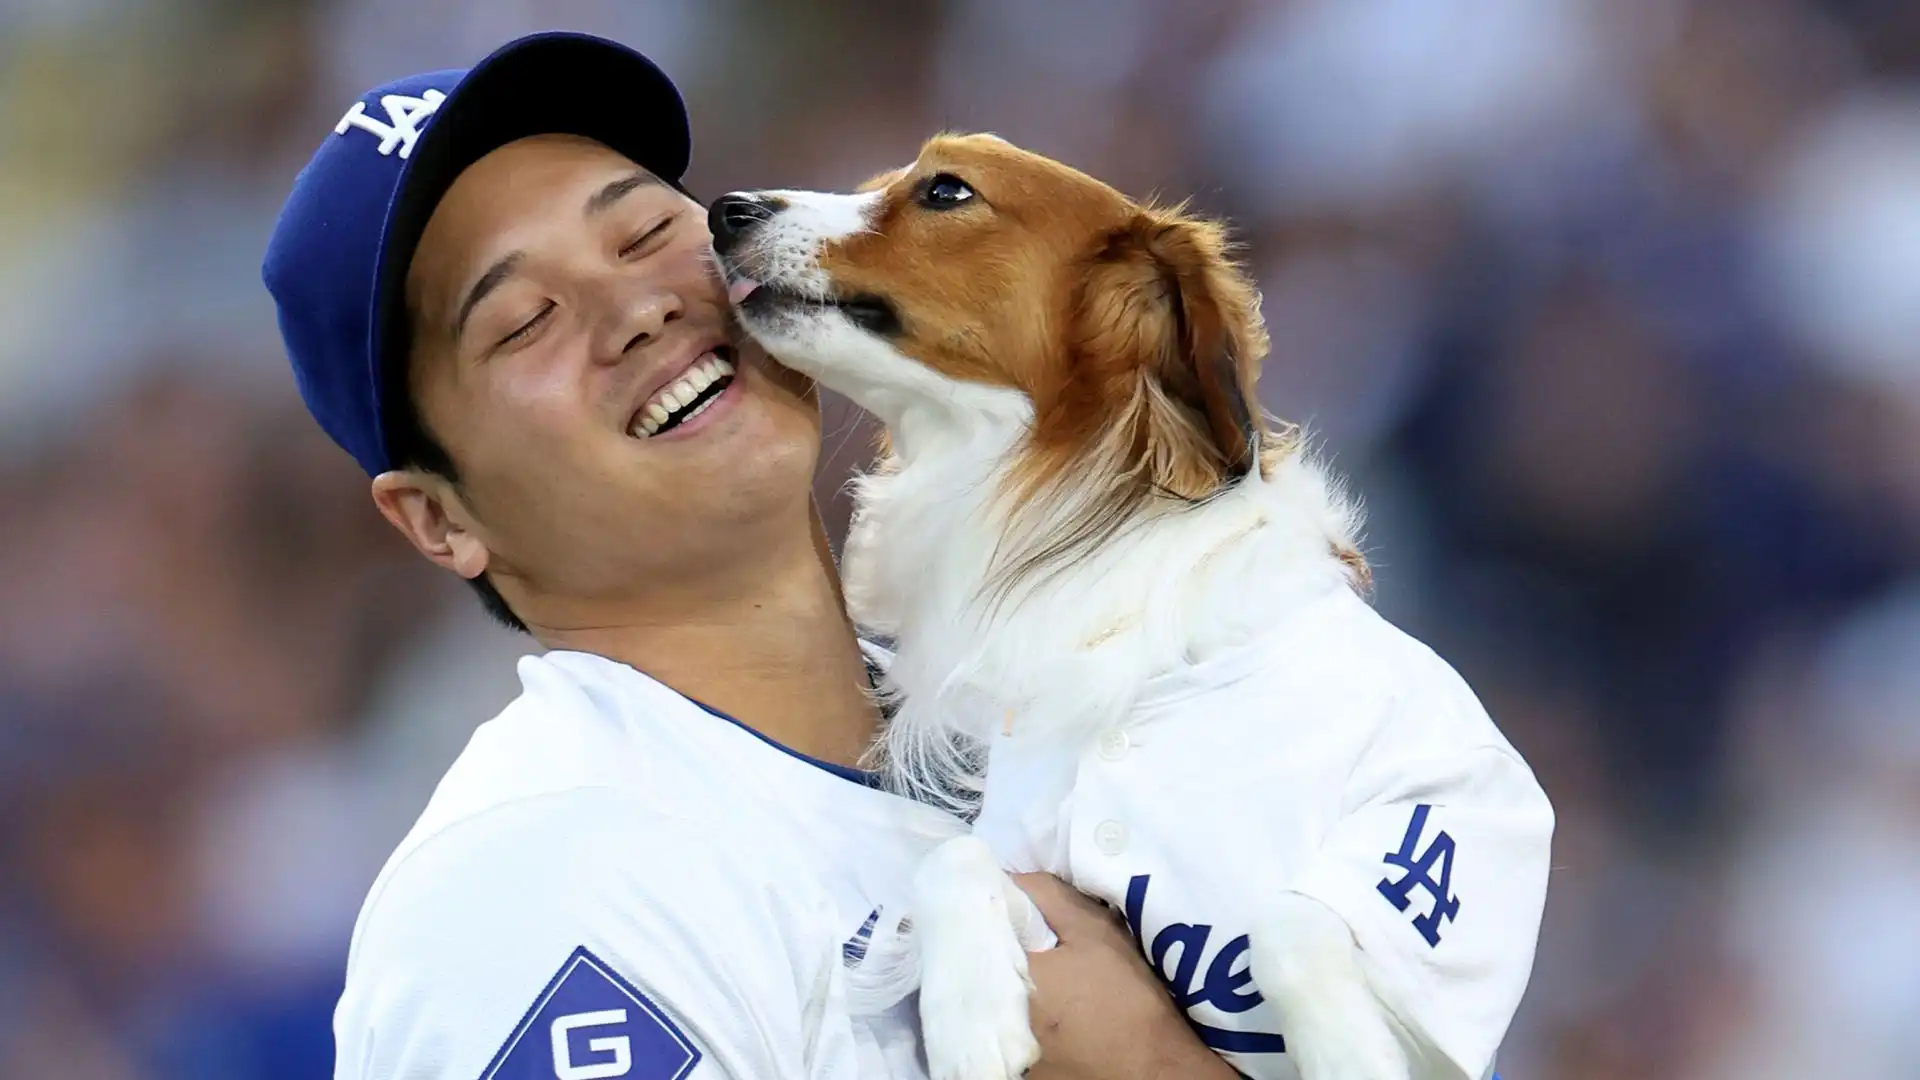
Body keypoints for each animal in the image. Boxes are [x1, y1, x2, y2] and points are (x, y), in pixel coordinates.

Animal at [714, 136, 1551, 1080]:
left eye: (946, 191)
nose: (725, 210)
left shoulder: (1461, 806)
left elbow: (1290, 917)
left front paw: (1347, 1048)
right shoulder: (1038, 869)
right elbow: (953, 862)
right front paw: (973, 1018)